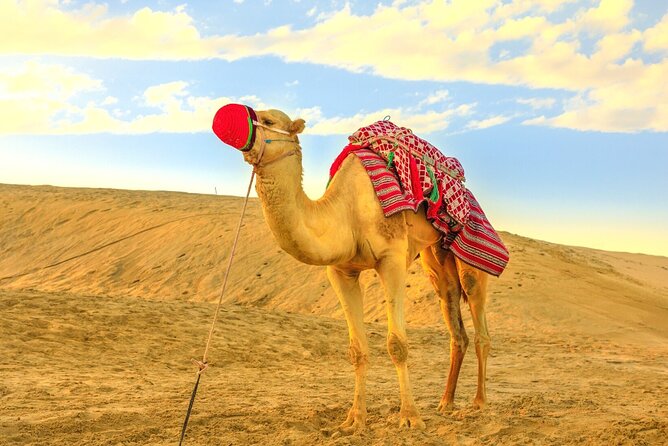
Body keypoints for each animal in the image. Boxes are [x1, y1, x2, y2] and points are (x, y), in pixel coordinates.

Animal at [219, 107, 491, 432]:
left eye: (269, 121)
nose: (228, 119)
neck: (346, 213)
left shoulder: (392, 259)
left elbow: (397, 344)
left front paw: (410, 417)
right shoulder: (340, 272)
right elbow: (357, 350)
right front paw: (354, 420)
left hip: (469, 246)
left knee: (477, 314)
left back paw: (479, 403)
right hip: (436, 257)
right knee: (453, 318)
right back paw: (446, 402)